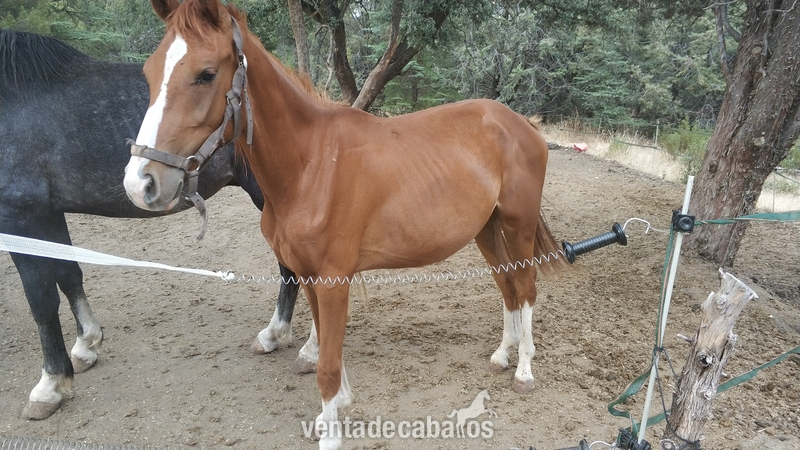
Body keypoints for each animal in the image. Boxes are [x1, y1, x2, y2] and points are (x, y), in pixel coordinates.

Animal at [0, 29, 305, 420]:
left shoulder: (21, 212)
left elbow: (40, 299)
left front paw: (50, 385)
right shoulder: (50, 212)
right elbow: (69, 276)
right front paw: (86, 345)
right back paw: (275, 336)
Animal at [122, 1, 567, 448]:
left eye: (206, 74)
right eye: (149, 72)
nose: (140, 183)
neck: (312, 165)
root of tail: (522, 123)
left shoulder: (333, 281)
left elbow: (327, 364)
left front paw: (331, 434)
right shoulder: (309, 277)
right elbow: (325, 348)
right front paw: (332, 412)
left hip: (518, 224)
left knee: (526, 289)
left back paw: (524, 371)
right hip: (487, 229)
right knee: (507, 287)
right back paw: (502, 356)